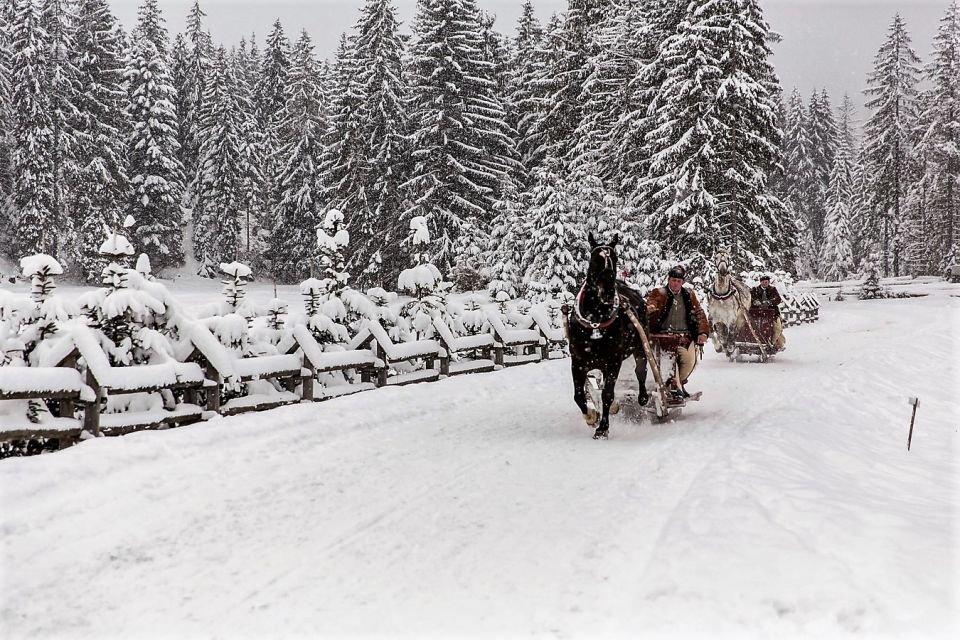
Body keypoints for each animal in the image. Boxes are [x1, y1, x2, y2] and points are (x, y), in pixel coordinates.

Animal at [568, 234, 648, 440]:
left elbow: (607, 395)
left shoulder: (613, 361)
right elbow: (579, 395)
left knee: (641, 371)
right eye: (594, 259)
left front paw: (603, 428)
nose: (608, 292)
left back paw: (643, 397)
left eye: (615, 258)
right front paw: (591, 416)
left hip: (640, 346)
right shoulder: (578, 361)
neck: (595, 321)